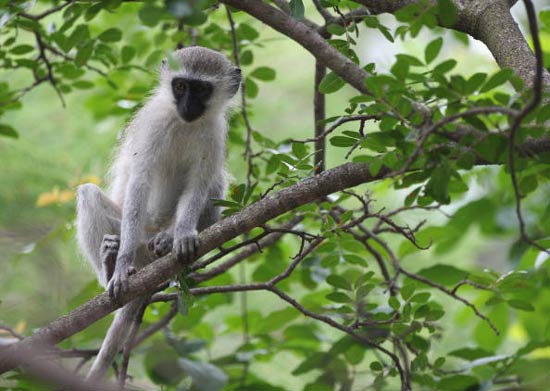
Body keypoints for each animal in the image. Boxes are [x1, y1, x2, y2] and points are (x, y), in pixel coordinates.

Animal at [75, 46, 242, 380]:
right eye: (180, 86)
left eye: (201, 89)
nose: (188, 106)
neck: (185, 123)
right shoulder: (153, 126)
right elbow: (140, 181)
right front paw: (120, 265)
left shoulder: (215, 133)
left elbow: (198, 185)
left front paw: (183, 235)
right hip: (135, 236)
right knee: (89, 195)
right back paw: (110, 265)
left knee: (216, 180)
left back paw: (167, 242)